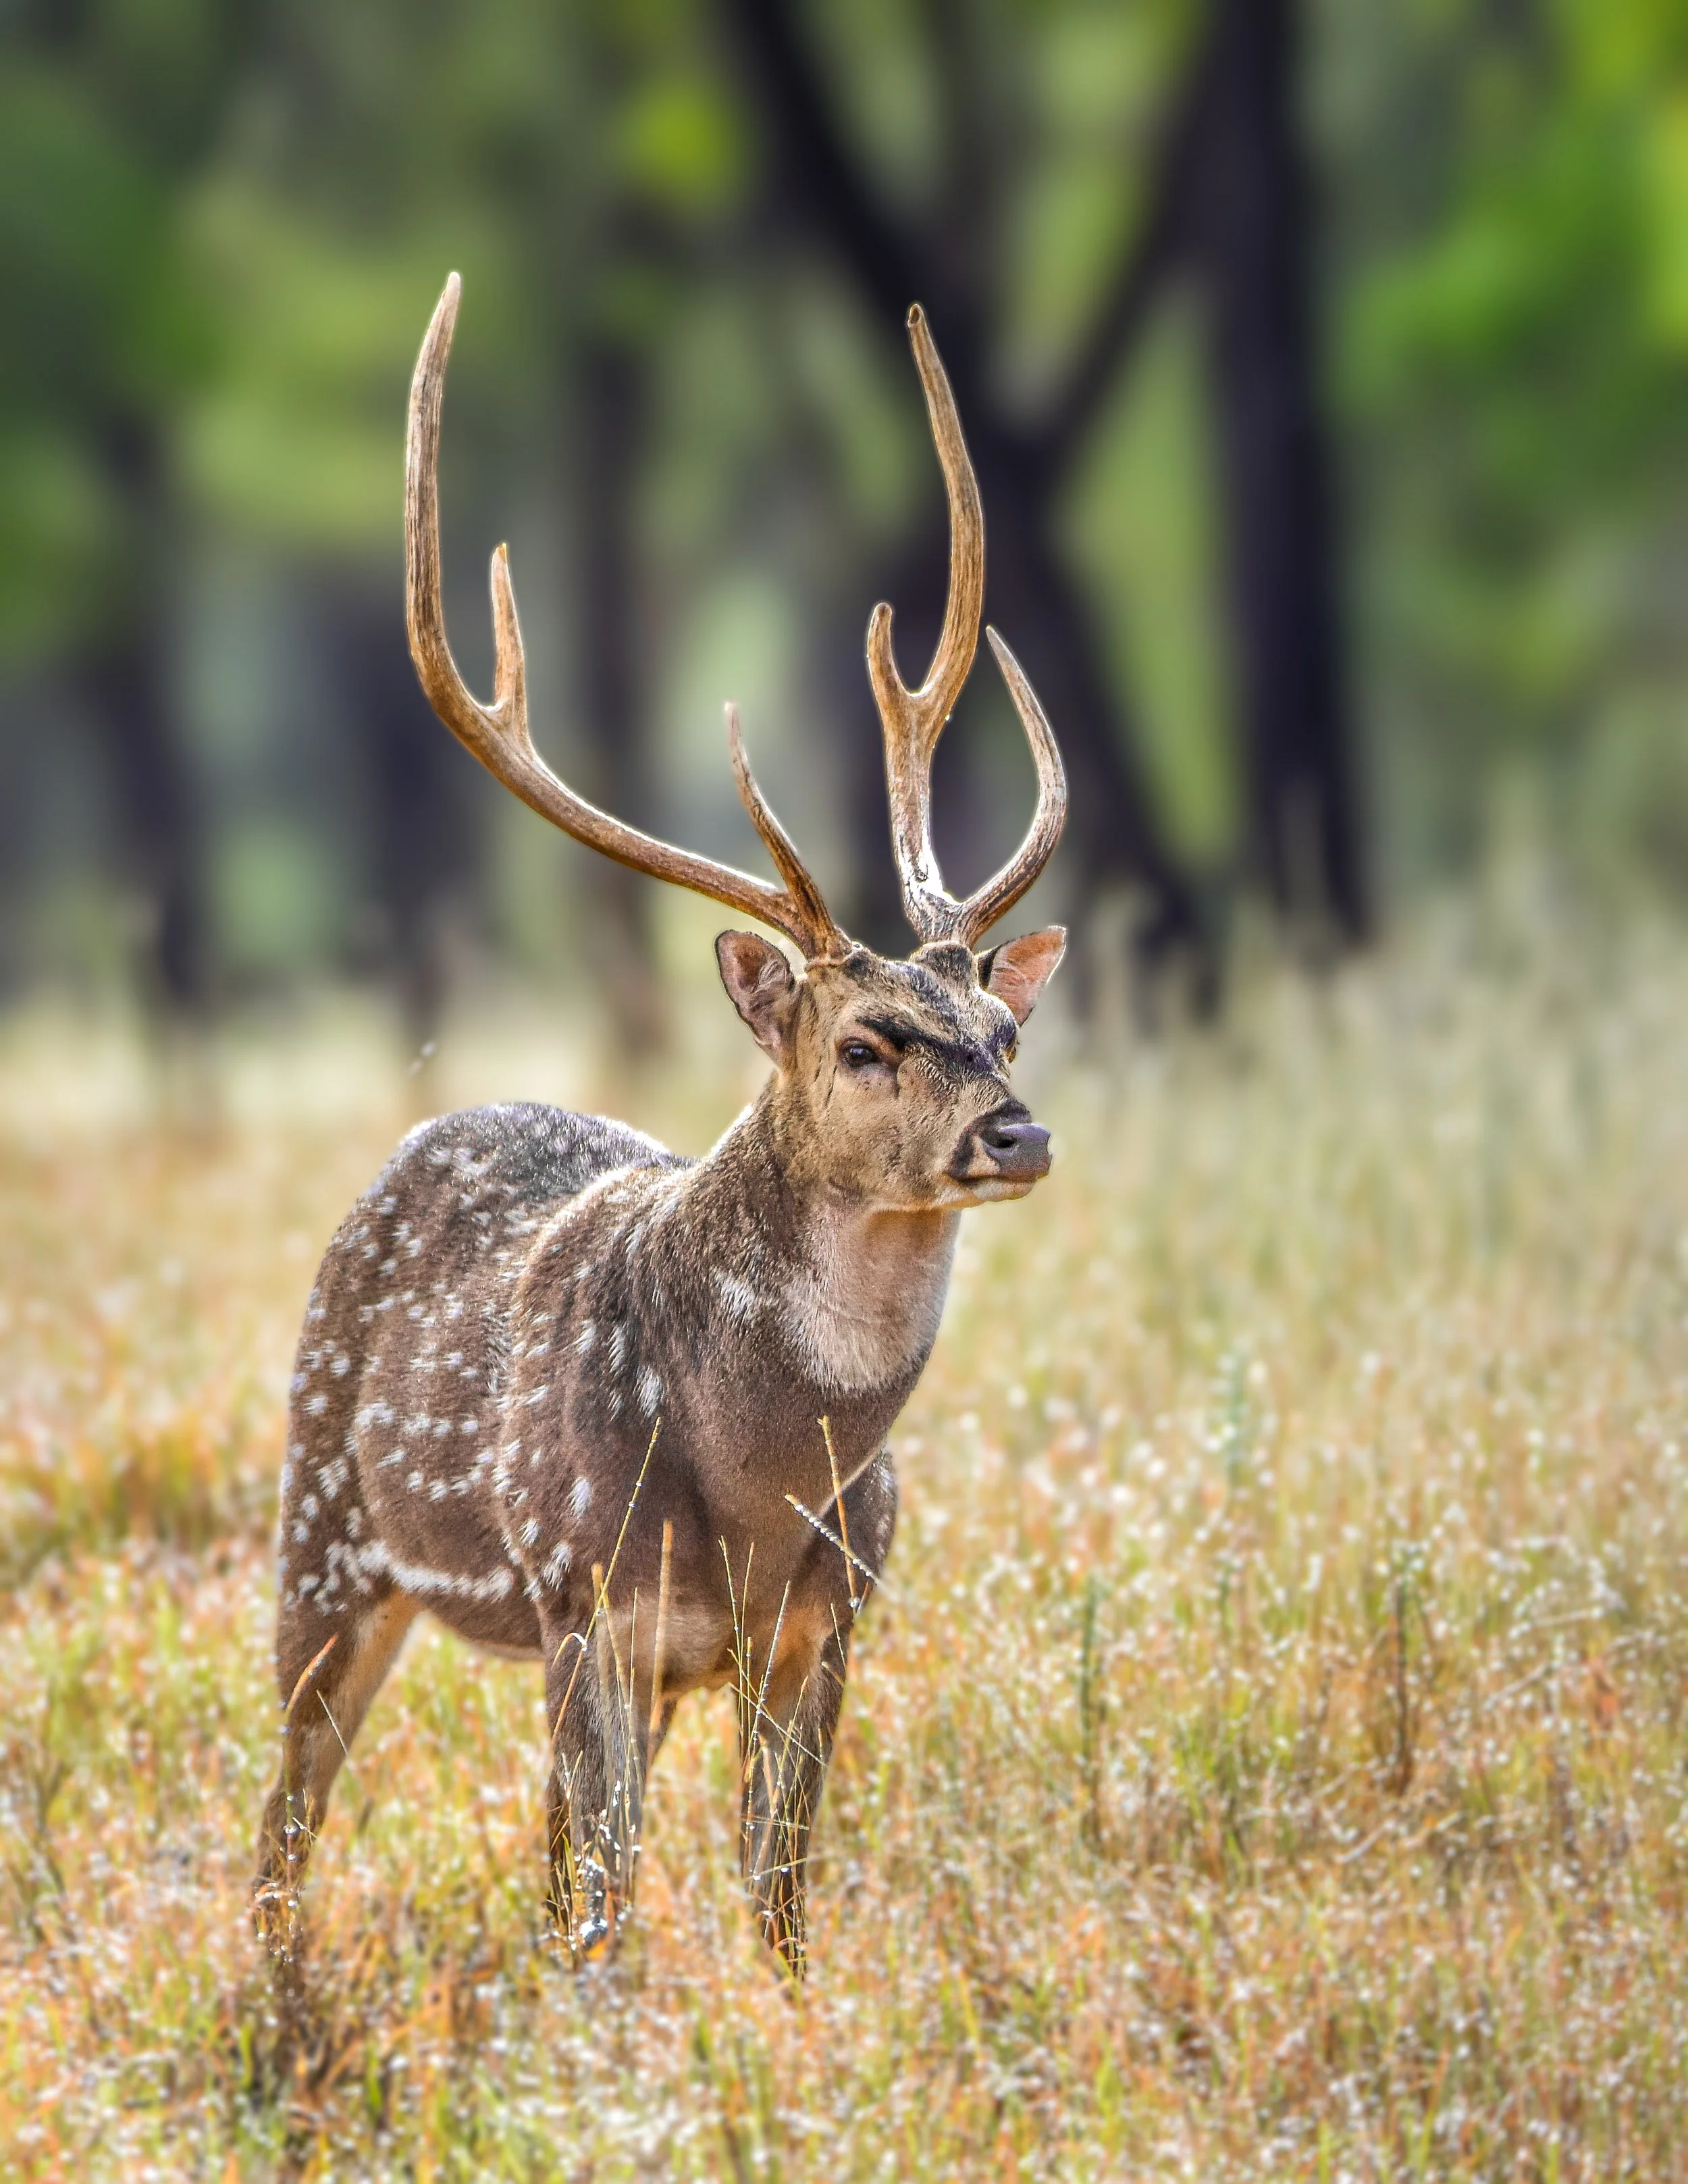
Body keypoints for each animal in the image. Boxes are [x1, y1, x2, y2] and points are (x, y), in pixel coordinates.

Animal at [253, 273, 1069, 1978]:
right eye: (865, 1040)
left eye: (1004, 1029)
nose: (1016, 1135)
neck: (763, 1485)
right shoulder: (588, 1599)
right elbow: (621, 1915)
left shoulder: (832, 1615)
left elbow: (779, 1903)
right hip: (324, 1524)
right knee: (287, 1825)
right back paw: (277, 2012)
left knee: (534, 1846)